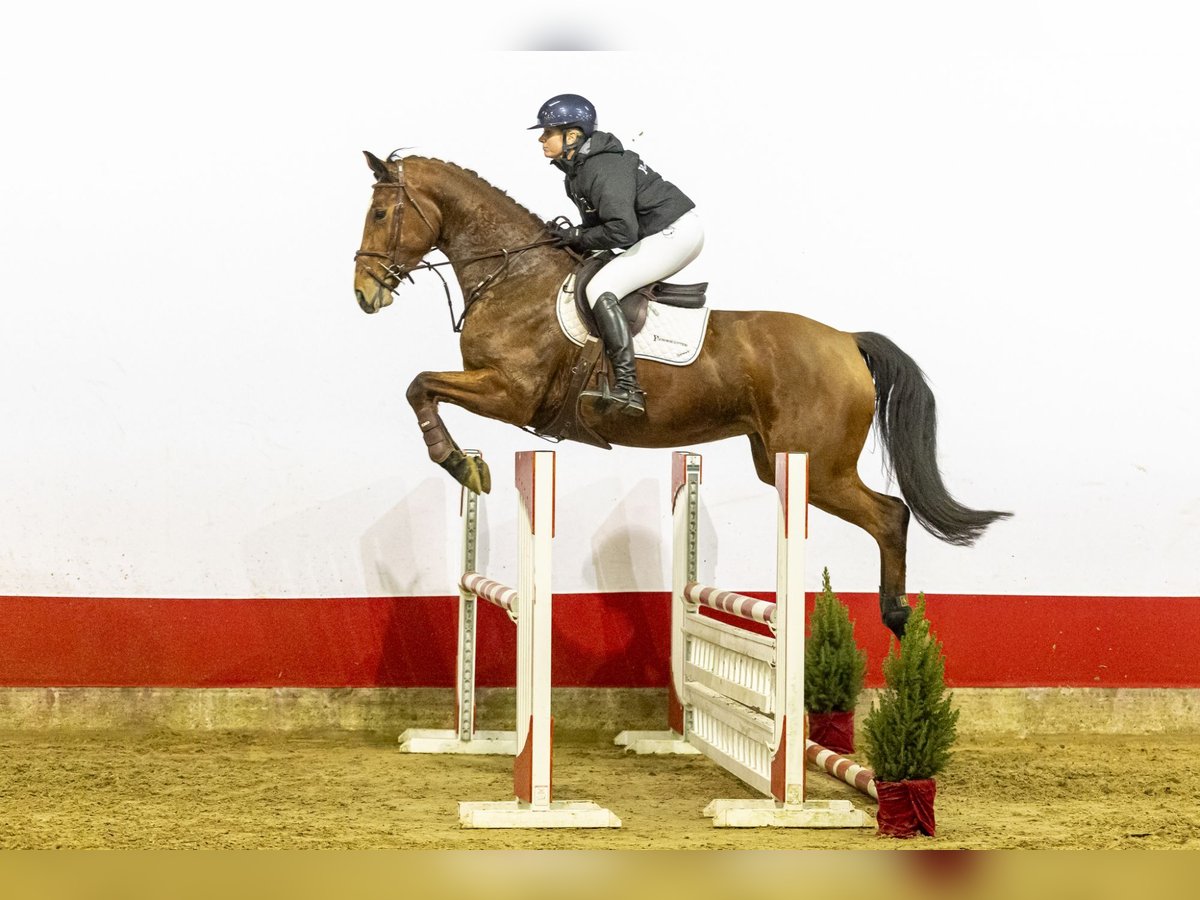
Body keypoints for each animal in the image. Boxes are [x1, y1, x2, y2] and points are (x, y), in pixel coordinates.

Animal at [352, 151, 1010, 638]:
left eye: (381, 212)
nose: (364, 293)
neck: (513, 275)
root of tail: (846, 340)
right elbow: (421, 386)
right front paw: (465, 464)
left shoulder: (511, 395)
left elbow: (419, 385)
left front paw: (459, 464)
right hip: (780, 462)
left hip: (817, 468)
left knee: (891, 514)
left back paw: (897, 614)